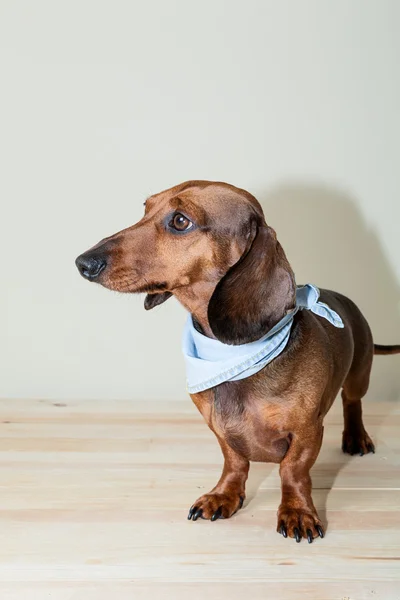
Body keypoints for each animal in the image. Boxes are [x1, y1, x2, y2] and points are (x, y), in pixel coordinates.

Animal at [76, 180, 400, 540]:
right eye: (145, 209)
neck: (234, 354)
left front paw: (297, 511)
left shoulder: (307, 431)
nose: (83, 263)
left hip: (360, 374)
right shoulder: (218, 427)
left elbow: (293, 471)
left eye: (180, 221)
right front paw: (223, 495)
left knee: (352, 402)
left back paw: (356, 437)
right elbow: (234, 462)